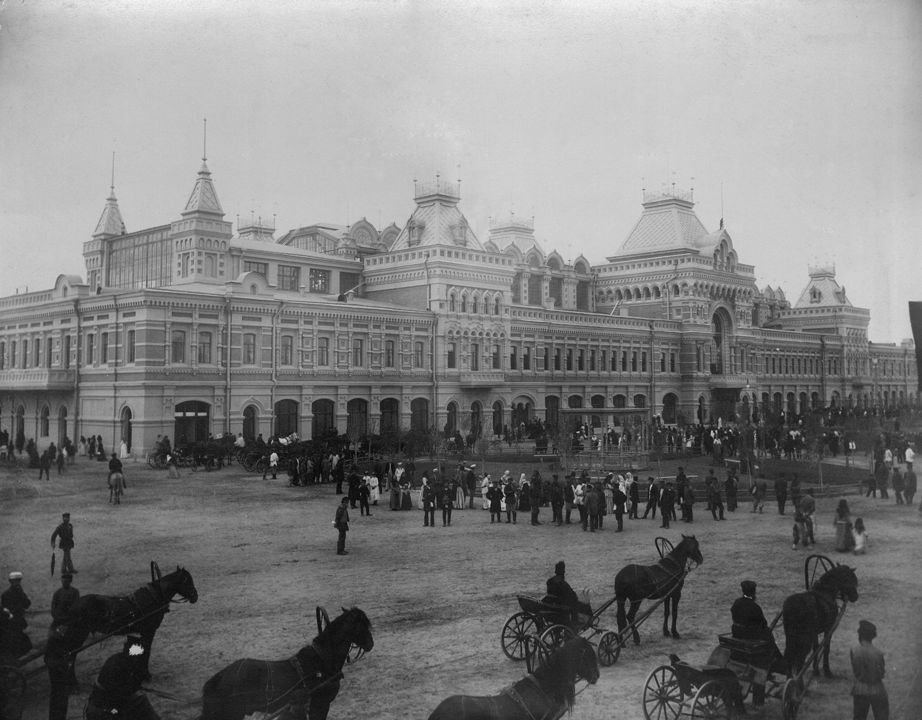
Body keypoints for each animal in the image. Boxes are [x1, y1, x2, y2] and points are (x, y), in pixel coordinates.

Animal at [59, 565, 197, 678]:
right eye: (187, 580)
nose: (195, 596)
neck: (154, 598)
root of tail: (74, 605)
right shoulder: (149, 631)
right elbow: (146, 651)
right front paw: (146, 674)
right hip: (79, 633)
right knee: (70, 655)